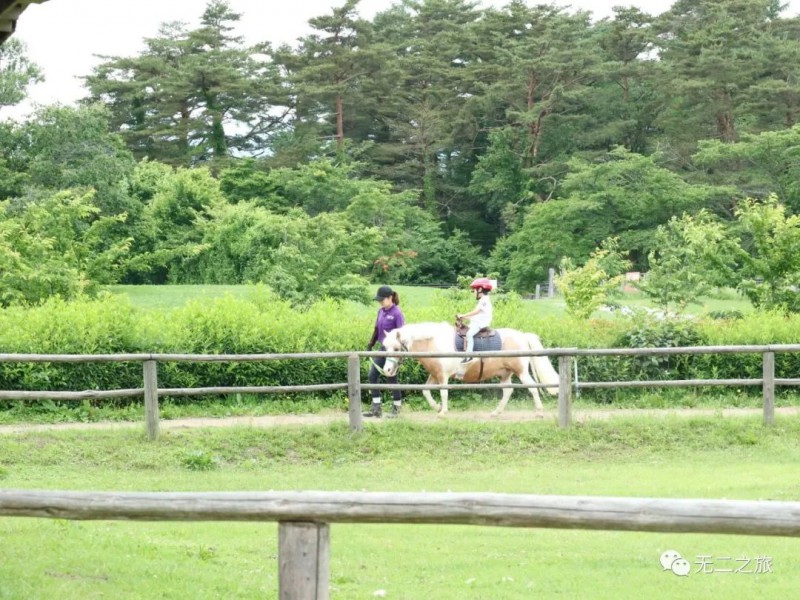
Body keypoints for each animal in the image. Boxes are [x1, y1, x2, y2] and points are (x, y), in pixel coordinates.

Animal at [380, 322, 556, 414]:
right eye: (385, 347)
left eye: (396, 348)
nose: (387, 370)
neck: (433, 342)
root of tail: (522, 336)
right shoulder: (435, 375)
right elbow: (426, 391)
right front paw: (437, 407)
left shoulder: (443, 376)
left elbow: (443, 393)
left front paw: (443, 411)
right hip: (505, 374)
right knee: (508, 391)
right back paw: (496, 412)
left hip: (521, 372)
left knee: (532, 387)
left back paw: (539, 411)